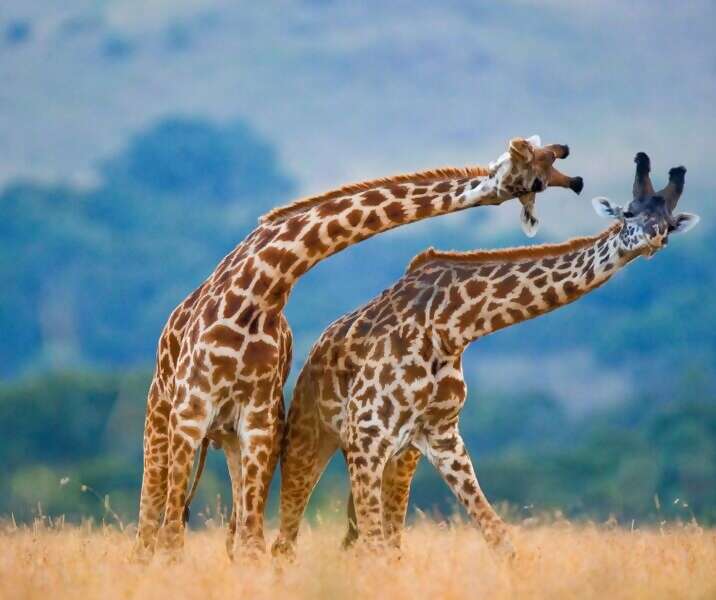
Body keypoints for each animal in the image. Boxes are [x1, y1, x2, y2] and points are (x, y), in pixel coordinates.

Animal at [130, 136, 583, 563]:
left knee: (234, 531)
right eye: (538, 173)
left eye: (554, 163)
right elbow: (172, 537)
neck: (262, 289)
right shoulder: (191, 410)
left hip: (231, 438)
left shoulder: (258, 421)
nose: (576, 181)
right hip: (162, 416)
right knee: (151, 526)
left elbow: (252, 542)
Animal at [272, 153, 699, 558]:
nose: (652, 239)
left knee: (364, 539)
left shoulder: (441, 436)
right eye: (628, 213)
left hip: (398, 456)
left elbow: (498, 537)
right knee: (288, 540)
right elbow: (376, 546)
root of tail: (313, 354)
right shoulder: (368, 434)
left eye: (669, 223)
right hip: (313, 438)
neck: (452, 327)